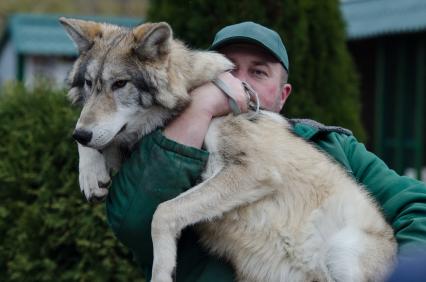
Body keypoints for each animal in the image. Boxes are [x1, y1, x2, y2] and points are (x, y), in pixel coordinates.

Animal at [60, 18, 396, 282]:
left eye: (120, 84)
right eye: (89, 83)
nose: (82, 134)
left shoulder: (255, 171)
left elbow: (163, 211)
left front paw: (163, 272)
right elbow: (95, 138)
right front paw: (90, 175)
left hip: (343, 253)